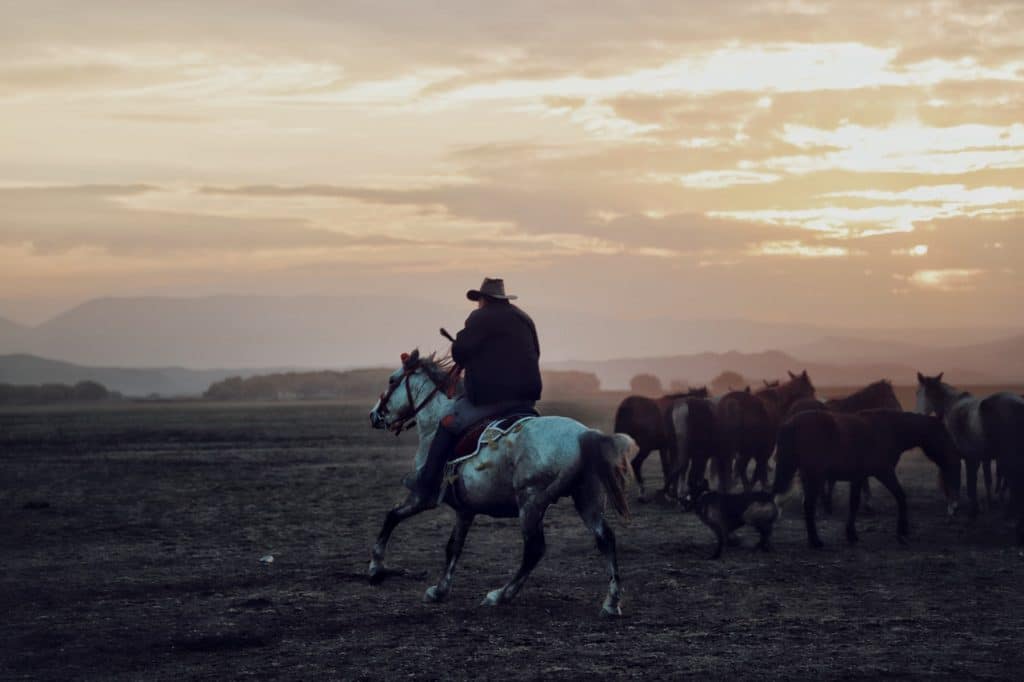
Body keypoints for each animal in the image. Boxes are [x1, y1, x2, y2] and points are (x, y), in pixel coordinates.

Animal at [770, 409, 962, 548]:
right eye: (943, 434)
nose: (954, 455)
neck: (888, 430)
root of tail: (791, 423)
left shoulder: (858, 477)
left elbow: (854, 504)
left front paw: (851, 534)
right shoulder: (884, 472)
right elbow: (900, 496)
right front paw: (902, 531)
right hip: (814, 476)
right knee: (808, 505)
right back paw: (815, 542)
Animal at [921, 372, 1024, 540]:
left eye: (921, 392)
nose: (921, 412)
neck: (952, 405)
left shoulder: (960, 457)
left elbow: (963, 483)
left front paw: (961, 511)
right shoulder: (974, 458)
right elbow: (972, 482)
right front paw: (973, 511)